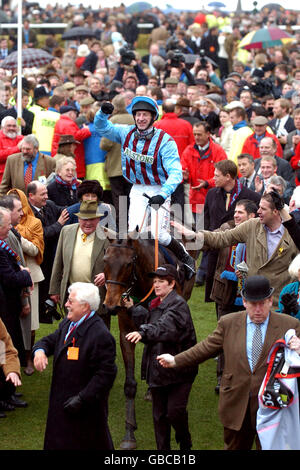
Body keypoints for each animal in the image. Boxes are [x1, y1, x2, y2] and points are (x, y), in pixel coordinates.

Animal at [103, 226, 196, 450]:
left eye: (128, 264)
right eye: (105, 260)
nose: (110, 306)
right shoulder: (125, 331)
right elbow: (130, 385)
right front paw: (129, 433)